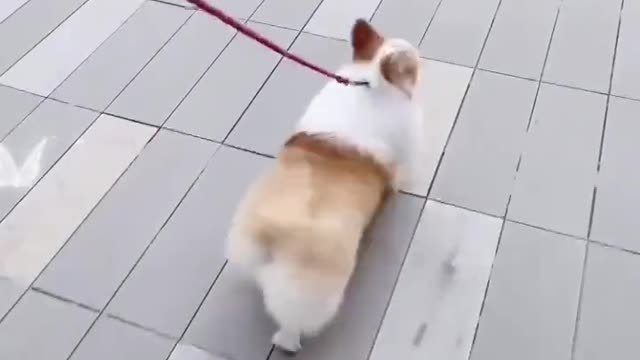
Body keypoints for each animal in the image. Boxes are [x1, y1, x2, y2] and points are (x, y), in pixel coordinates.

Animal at [225, 18, 424, 352]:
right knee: (294, 325)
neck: (371, 83)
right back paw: (289, 343)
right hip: (315, 295)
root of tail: (272, 234)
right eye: (412, 65)